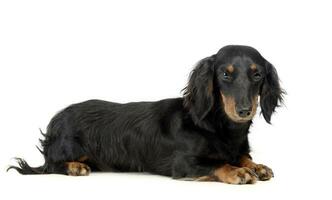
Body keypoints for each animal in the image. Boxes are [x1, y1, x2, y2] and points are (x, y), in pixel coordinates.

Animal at [7, 45, 282, 184]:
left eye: (257, 74)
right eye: (225, 74)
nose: (244, 111)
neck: (219, 127)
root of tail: (56, 118)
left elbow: (243, 157)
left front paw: (256, 166)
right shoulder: (183, 163)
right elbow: (217, 164)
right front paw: (237, 171)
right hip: (67, 148)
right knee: (49, 165)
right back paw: (75, 167)